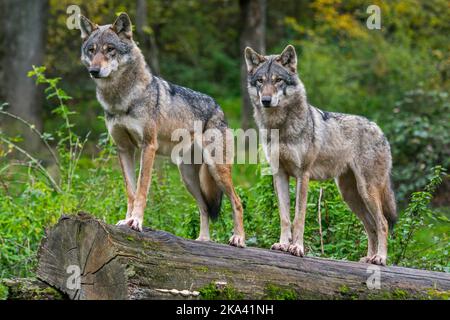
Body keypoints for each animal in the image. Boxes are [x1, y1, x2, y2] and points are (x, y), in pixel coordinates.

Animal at [78, 13, 246, 248]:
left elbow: (142, 189)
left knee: (237, 202)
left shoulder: (148, 146)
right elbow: (130, 191)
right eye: (92, 50)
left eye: (110, 49)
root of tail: (219, 107)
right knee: (204, 207)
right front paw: (126, 220)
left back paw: (238, 238)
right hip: (188, 178)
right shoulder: (124, 149)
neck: (121, 98)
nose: (94, 71)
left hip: (216, 170)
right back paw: (203, 240)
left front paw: (136, 222)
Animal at [244, 45, 396, 264]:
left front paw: (297, 247)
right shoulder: (279, 174)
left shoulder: (303, 175)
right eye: (260, 81)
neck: (279, 126)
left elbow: (299, 217)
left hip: (366, 191)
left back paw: (380, 259)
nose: (266, 100)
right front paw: (282, 244)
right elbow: (285, 217)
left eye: (278, 80)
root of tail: (379, 129)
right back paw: (368, 258)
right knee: (371, 226)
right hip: (350, 195)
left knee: (382, 222)